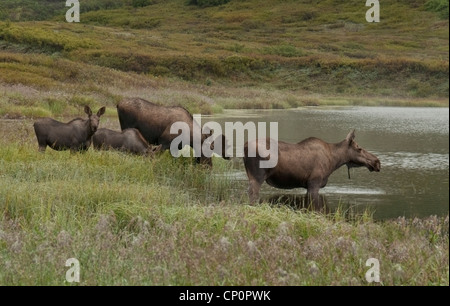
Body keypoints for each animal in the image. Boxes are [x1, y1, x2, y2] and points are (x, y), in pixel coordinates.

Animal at [244, 130, 382, 209]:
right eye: (359, 148)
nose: (377, 162)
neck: (334, 161)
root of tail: (244, 147)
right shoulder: (314, 183)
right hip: (257, 177)